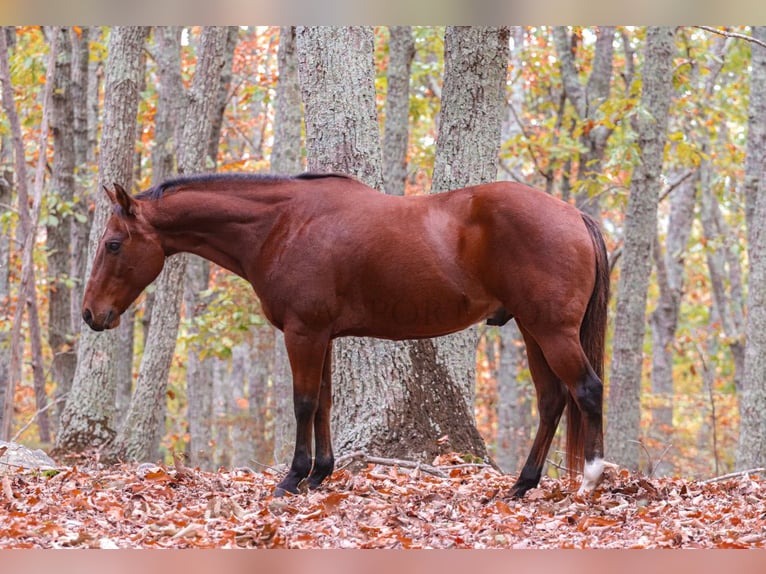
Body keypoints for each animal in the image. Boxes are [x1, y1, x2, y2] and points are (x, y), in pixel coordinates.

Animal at [82, 172, 612, 500]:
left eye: (113, 245)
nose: (91, 315)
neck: (283, 225)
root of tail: (575, 216)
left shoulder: (304, 333)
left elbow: (303, 402)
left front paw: (292, 478)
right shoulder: (323, 335)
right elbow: (323, 401)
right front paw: (319, 474)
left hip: (551, 330)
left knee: (586, 390)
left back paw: (590, 479)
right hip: (532, 330)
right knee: (552, 400)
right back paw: (522, 485)